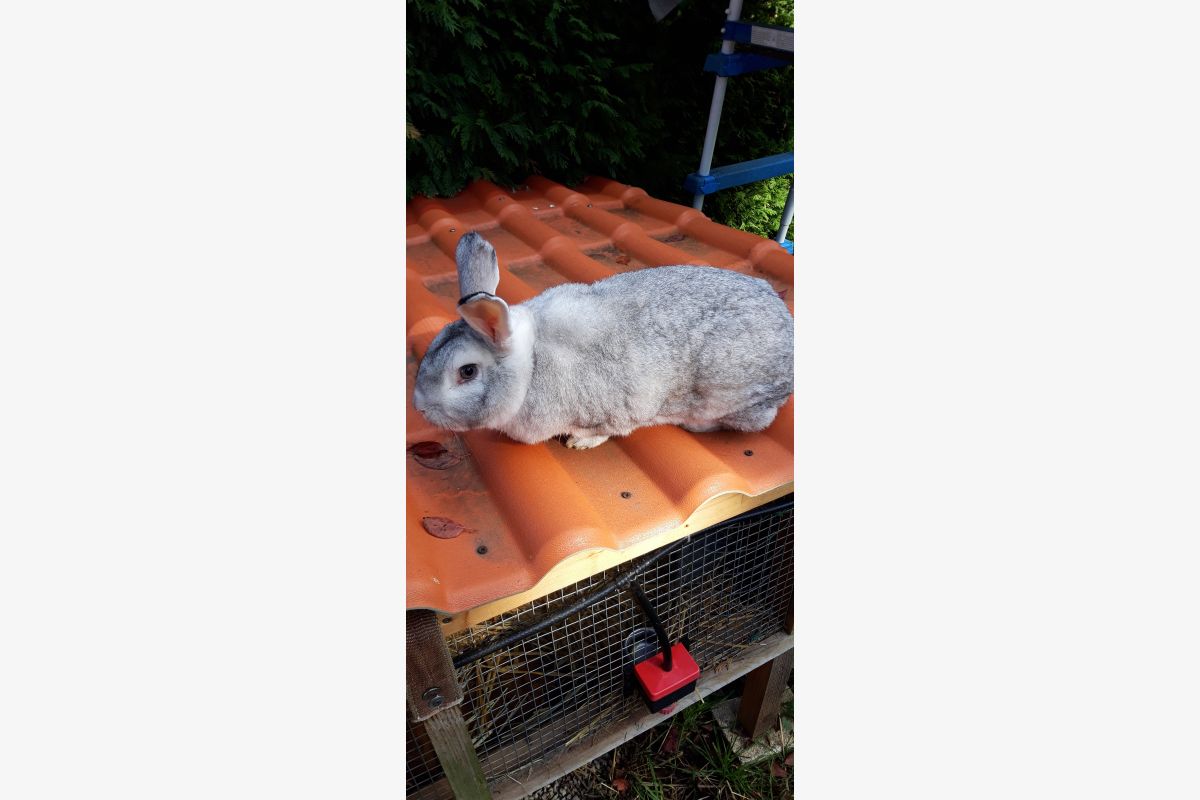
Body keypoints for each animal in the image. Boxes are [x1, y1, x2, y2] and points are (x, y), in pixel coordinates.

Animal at [412, 231, 793, 449]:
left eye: (467, 372)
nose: (419, 407)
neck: (532, 365)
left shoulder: (616, 410)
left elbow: (610, 429)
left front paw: (580, 444)